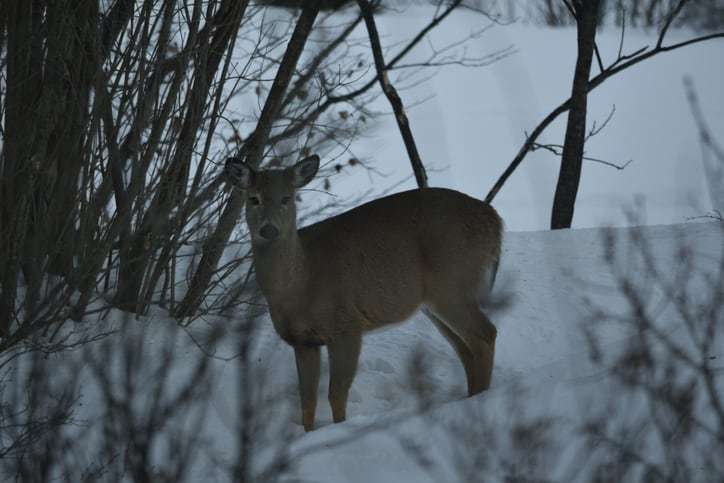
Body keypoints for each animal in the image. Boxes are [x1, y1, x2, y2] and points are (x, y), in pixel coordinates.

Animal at [226, 154, 504, 432]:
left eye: (287, 198)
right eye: (254, 198)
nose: (268, 229)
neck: (300, 283)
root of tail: (495, 220)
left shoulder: (347, 325)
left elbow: (336, 394)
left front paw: (339, 430)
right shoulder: (302, 341)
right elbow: (307, 400)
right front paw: (308, 434)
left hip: (452, 283)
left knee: (485, 334)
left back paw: (481, 402)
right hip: (435, 302)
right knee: (466, 349)